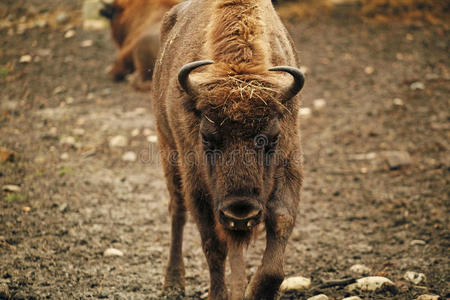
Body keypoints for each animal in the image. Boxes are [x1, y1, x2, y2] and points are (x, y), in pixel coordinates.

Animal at [152, 0, 306, 300]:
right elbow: (212, 244)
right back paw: (173, 282)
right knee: (177, 211)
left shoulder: (289, 163)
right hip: (168, 150)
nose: (240, 212)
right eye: (207, 138)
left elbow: (280, 224)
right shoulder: (197, 182)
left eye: (271, 138)